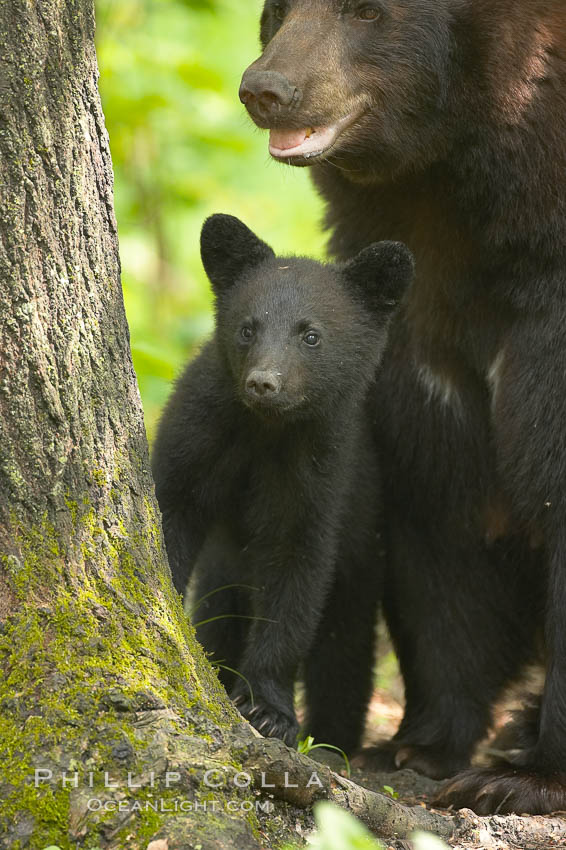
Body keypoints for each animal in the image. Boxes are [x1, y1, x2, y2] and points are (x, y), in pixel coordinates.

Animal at [152, 214, 414, 751]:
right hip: (226, 568)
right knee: (223, 612)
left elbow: (297, 574)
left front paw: (269, 710)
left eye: (310, 335)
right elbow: (171, 511)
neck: (266, 430)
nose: (263, 383)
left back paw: (334, 740)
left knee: (344, 646)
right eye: (247, 328)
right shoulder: (198, 432)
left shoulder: (319, 468)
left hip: (364, 546)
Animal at [239, 0, 566, 815]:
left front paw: (521, 780)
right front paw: (419, 745)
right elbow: (441, 516)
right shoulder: (422, 341)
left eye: (366, 13)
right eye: (280, 9)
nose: (267, 89)